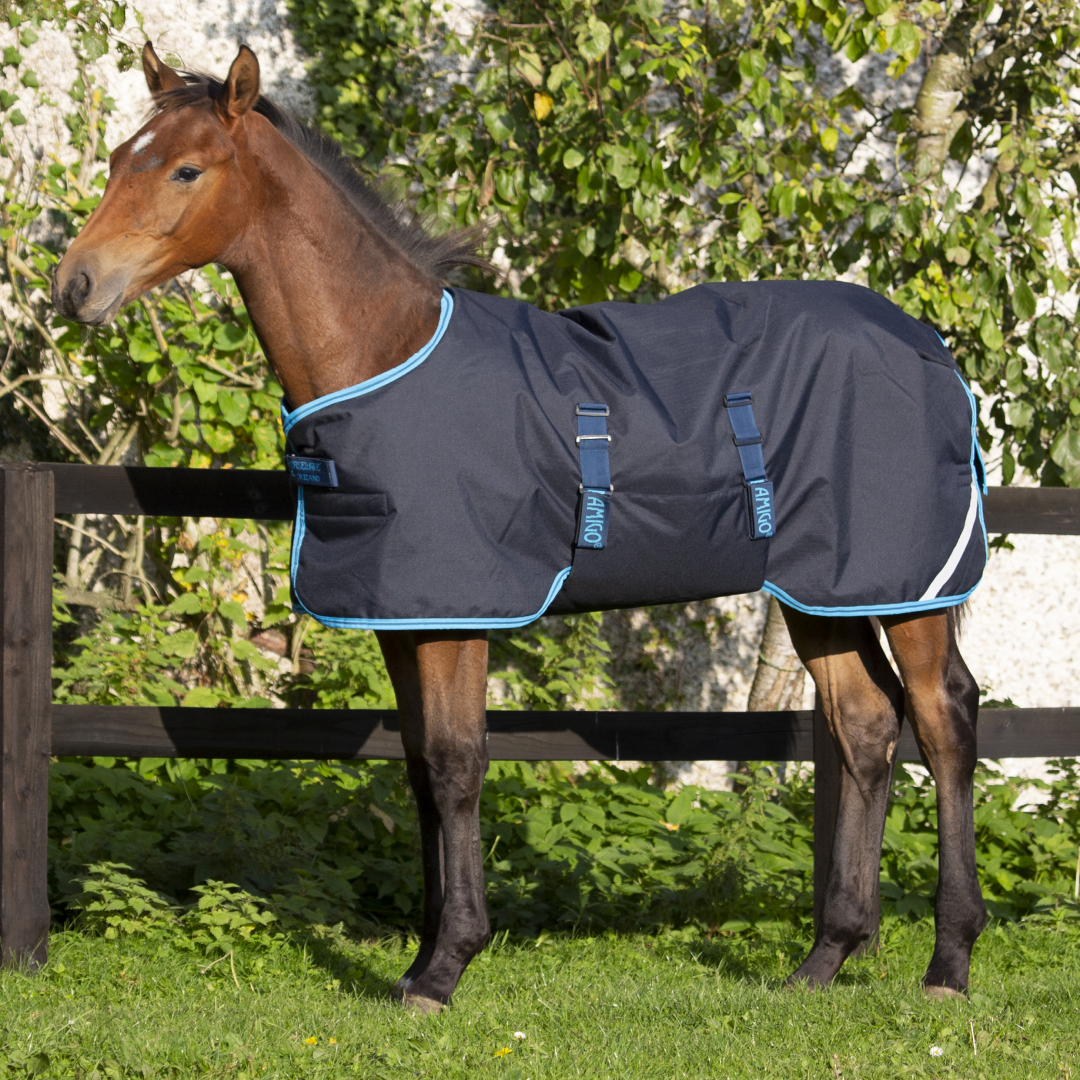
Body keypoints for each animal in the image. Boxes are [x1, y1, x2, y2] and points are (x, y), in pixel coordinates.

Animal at [52, 42, 988, 1013]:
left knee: (944, 718)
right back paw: (824, 959)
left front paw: (447, 966)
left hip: (906, 587)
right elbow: (419, 769)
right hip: (821, 591)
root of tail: (929, 344)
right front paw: (420, 957)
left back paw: (948, 962)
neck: (384, 352)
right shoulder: (405, 618)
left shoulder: (460, 616)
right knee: (867, 726)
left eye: (186, 170)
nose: (73, 286)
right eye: (119, 158)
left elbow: (457, 763)